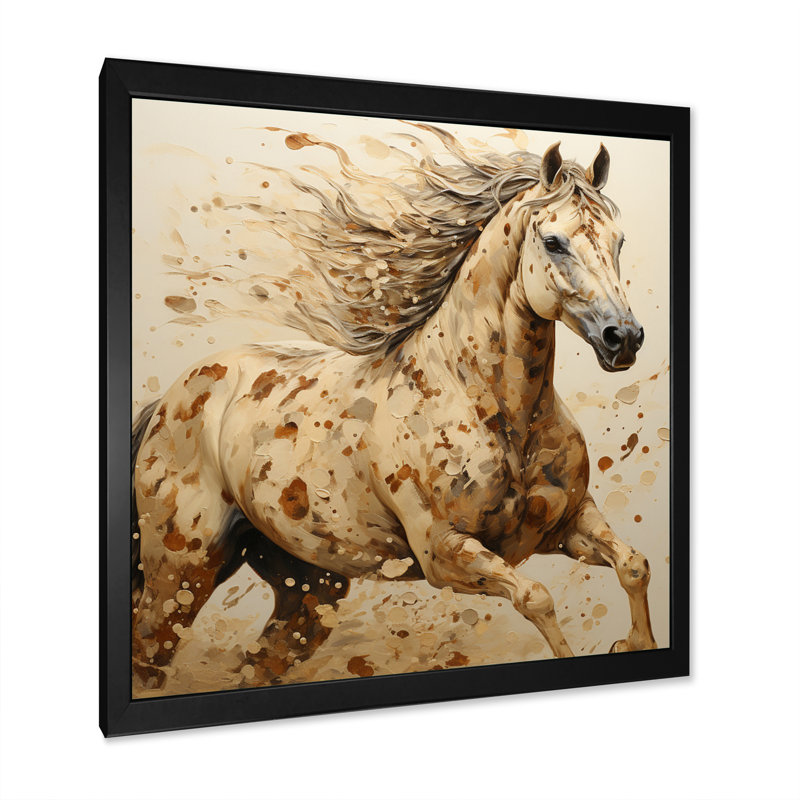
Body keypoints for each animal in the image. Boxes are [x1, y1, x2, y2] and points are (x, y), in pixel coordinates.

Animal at [132, 135, 657, 691]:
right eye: (554, 242)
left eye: (619, 241)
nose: (623, 338)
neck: (495, 410)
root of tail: (167, 402)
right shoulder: (443, 553)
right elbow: (537, 597)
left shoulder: (566, 524)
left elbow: (634, 564)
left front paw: (632, 643)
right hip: (182, 571)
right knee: (149, 653)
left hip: (309, 588)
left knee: (260, 662)